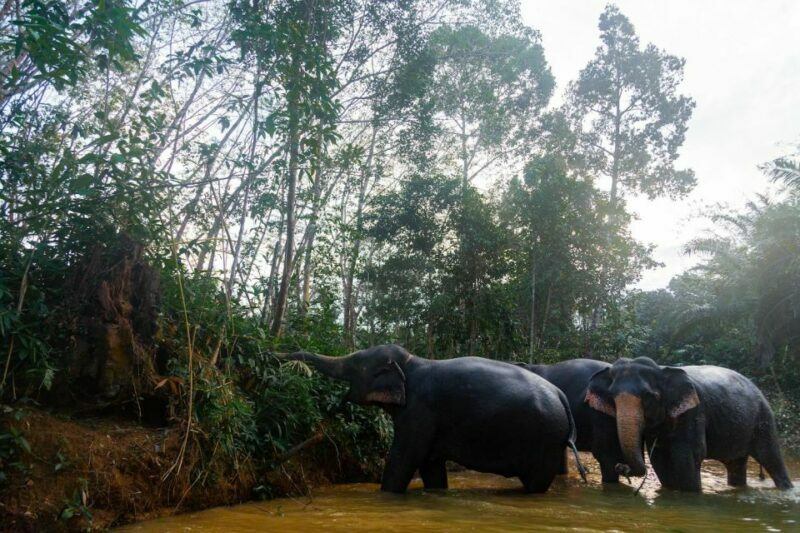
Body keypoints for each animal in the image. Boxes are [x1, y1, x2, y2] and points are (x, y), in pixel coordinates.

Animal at [284, 344, 586, 493]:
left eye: (355, 363)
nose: (283, 356)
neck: (411, 362)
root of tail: (561, 396)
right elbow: (431, 466)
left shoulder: (419, 410)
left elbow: (404, 460)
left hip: (546, 439)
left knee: (535, 483)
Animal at [586, 356, 794, 491]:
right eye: (612, 397)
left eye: (648, 397)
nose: (621, 467)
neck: (662, 369)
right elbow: (659, 457)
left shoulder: (694, 412)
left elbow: (687, 454)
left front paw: (690, 495)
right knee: (736, 464)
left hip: (763, 418)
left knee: (771, 457)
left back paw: (786, 489)